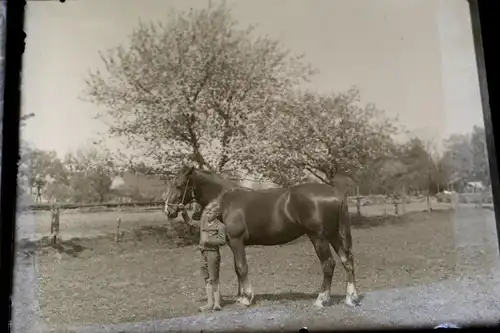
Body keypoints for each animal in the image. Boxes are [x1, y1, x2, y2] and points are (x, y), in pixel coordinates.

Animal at [166, 165, 362, 308]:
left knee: (328, 264)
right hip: (334, 236)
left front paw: (247, 298)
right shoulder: (233, 244)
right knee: (347, 261)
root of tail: (336, 193)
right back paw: (351, 297)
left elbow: (242, 267)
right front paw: (240, 296)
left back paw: (321, 299)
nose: (169, 210)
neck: (226, 201)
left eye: (179, 185)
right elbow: (237, 269)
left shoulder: (237, 241)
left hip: (319, 238)